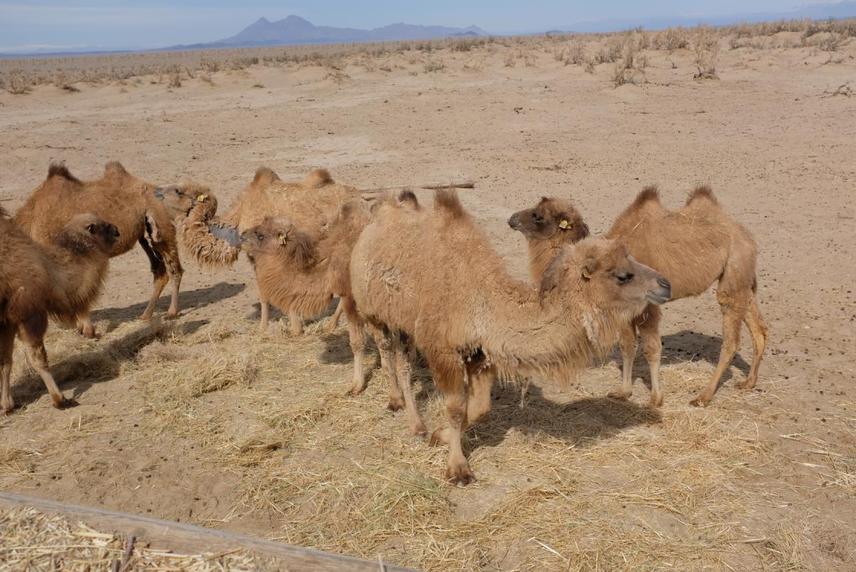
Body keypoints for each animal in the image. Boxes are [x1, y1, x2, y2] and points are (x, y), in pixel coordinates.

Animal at [0, 206, 119, 412]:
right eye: (101, 225)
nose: (117, 230)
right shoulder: (29, 313)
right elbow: (38, 359)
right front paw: (60, 399)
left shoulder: (8, 322)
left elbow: (5, 362)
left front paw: (7, 405)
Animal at [14, 162, 184, 337]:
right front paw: (81, 328)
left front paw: (88, 330)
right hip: (145, 236)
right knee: (160, 271)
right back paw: (145, 316)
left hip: (162, 226)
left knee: (175, 269)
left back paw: (171, 312)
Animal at [156, 167, 360, 335]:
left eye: (178, 190)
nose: (156, 191)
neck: (237, 222)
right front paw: (284, 327)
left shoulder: (259, 253)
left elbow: (267, 291)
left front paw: (274, 329)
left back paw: (332, 324)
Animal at [350, 189, 671, 483]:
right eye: (622, 275)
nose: (665, 284)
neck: (484, 301)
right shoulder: (444, 350)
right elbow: (455, 408)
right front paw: (458, 468)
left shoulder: (480, 353)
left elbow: (479, 407)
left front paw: (440, 435)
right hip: (373, 311)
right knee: (389, 353)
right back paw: (404, 411)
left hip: (404, 324)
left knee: (402, 358)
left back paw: (416, 422)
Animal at [508, 186, 768, 407]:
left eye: (538, 215)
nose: (512, 219)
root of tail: (746, 235)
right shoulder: (621, 307)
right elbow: (627, 346)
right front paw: (623, 392)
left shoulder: (647, 305)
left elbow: (651, 348)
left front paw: (655, 399)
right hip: (742, 278)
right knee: (759, 328)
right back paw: (748, 382)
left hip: (734, 270)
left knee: (731, 338)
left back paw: (703, 397)